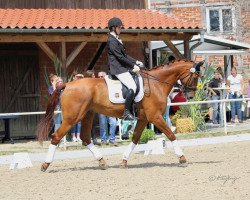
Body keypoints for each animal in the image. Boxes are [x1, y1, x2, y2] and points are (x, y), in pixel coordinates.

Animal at [37, 59, 202, 172]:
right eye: (195, 77)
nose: (191, 95)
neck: (157, 83)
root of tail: (67, 84)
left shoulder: (143, 118)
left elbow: (135, 138)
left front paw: (124, 161)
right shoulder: (155, 117)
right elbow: (171, 135)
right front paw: (182, 158)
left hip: (87, 114)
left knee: (85, 138)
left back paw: (102, 162)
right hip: (72, 118)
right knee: (56, 137)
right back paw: (45, 165)